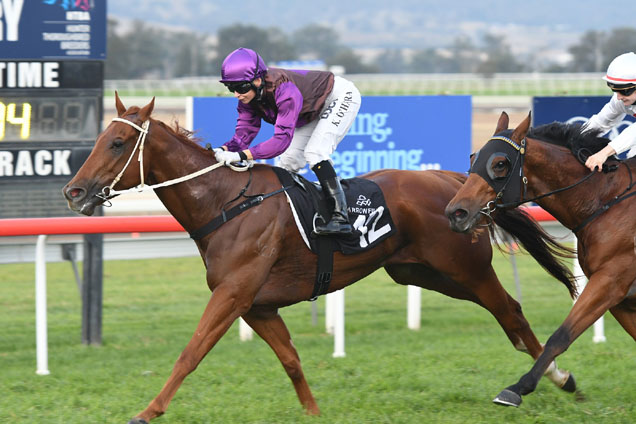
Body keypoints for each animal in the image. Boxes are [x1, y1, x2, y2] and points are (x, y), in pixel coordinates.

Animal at [66, 97, 576, 424]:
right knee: (507, 318)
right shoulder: (258, 305)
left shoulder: (233, 294)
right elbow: (291, 360)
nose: (74, 191)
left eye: (117, 143)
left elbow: (191, 352)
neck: (225, 202)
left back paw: (554, 379)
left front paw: (147, 411)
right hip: (424, 273)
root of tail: (455, 183)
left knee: (510, 311)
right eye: (102, 138)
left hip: (465, 268)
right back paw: (558, 379)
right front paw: (313, 412)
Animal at [444, 111, 636, 410]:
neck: (605, 200)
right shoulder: (621, 298)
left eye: (500, 164)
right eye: (473, 157)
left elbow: (561, 335)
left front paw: (517, 388)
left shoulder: (612, 279)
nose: (456, 213)